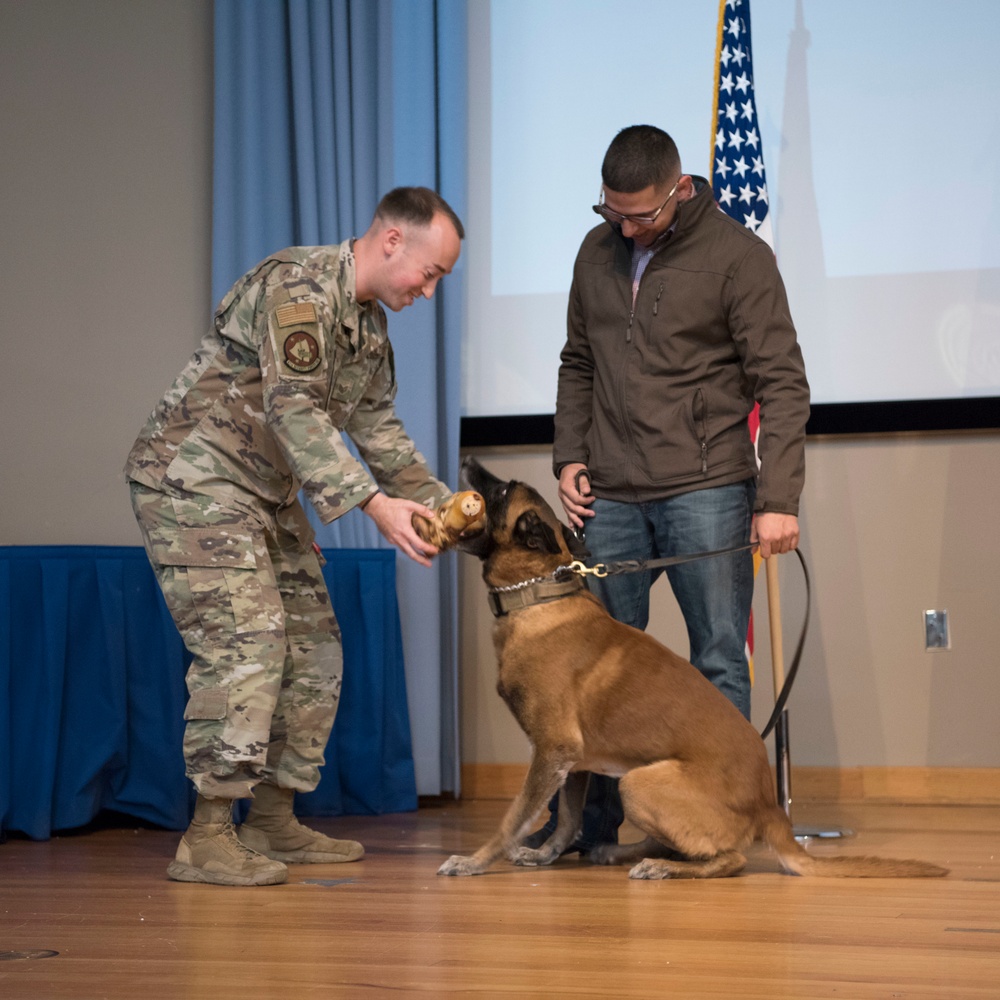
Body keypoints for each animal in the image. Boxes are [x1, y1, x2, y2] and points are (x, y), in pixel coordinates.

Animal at [442, 458, 948, 880]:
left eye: (501, 491)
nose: (468, 459)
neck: (539, 596)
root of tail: (770, 809)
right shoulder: (574, 762)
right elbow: (566, 819)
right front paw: (545, 854)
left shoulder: (552, 750)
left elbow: (512, 817)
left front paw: (474, 860)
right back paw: (622, 852)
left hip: (638, 783)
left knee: (730, 859)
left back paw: (664, 867)